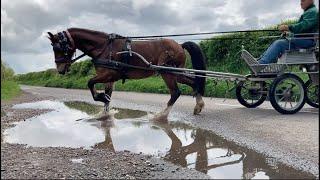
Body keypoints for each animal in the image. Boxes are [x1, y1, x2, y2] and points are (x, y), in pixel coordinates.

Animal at [48, 28, 208, 120]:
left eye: (58, 47)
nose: (60, 69)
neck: (105, 47)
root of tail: (179, 45)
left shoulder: (109, 75)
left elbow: (90, 83)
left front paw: (100, 97)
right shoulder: (109, 78)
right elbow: (108, 95)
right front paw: (105, 113)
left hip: (167, 72)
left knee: (175, 92)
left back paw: (161, 115)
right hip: (176, 73)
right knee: (193, 82)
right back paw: (198, 105)